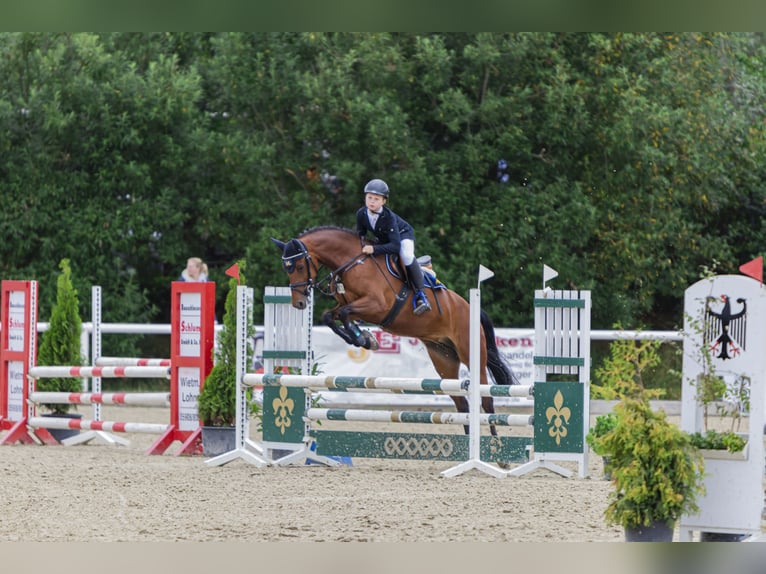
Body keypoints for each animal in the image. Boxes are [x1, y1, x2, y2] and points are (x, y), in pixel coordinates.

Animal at [272, 225, 520, 440]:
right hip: (444, 359)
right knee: (463, 405)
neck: (351, 262)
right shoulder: (351, 306)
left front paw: (364, 339)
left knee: (486, 400)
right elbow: (331, 316)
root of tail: (469, 308)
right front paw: (364, 338)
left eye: (299, 266)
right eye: (286, 268)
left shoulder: (377, 306)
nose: (299, 304)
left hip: (471, 354)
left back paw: (495, 450)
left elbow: (343, 313)